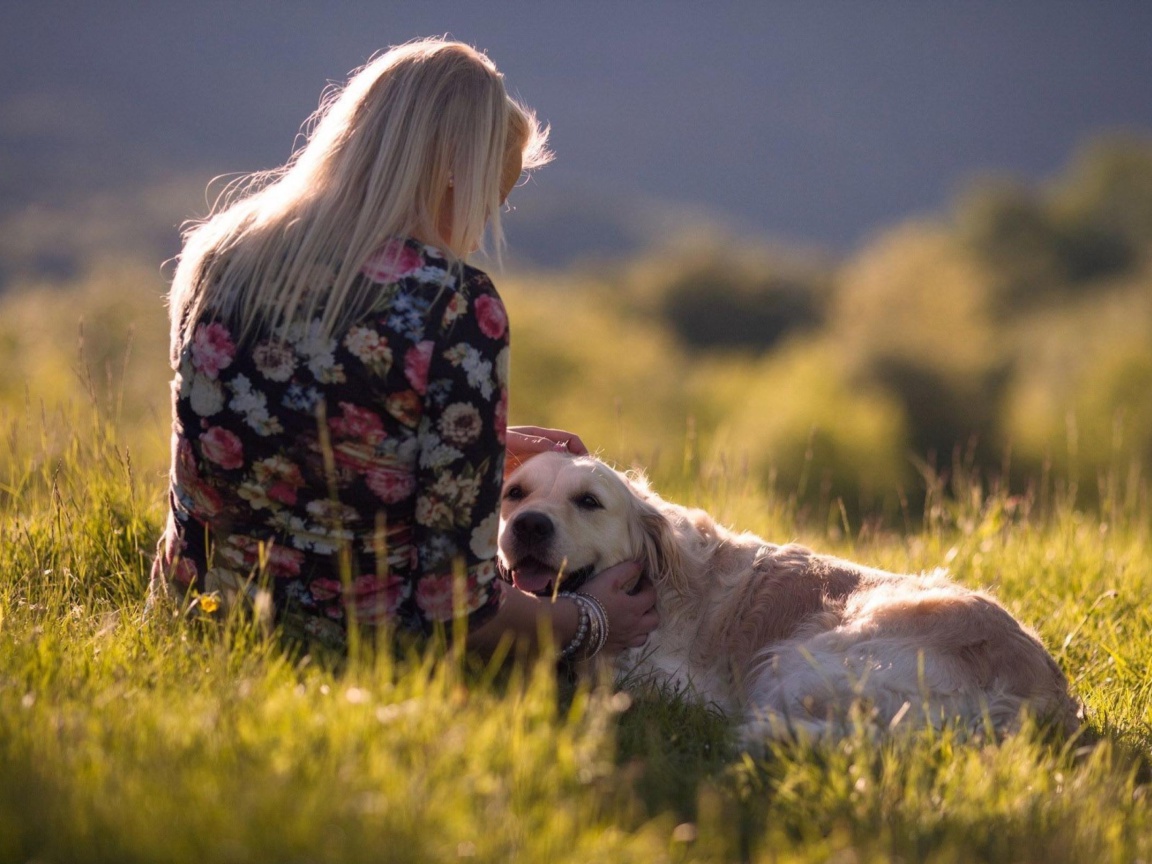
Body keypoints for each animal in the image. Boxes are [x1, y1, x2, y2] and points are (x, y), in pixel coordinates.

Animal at [502, 449, 1078, 741]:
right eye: (514, 493)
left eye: (589, 501)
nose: (528, 526)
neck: (660, 579)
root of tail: (1046, 694)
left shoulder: (674, 679)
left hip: (802, 661)